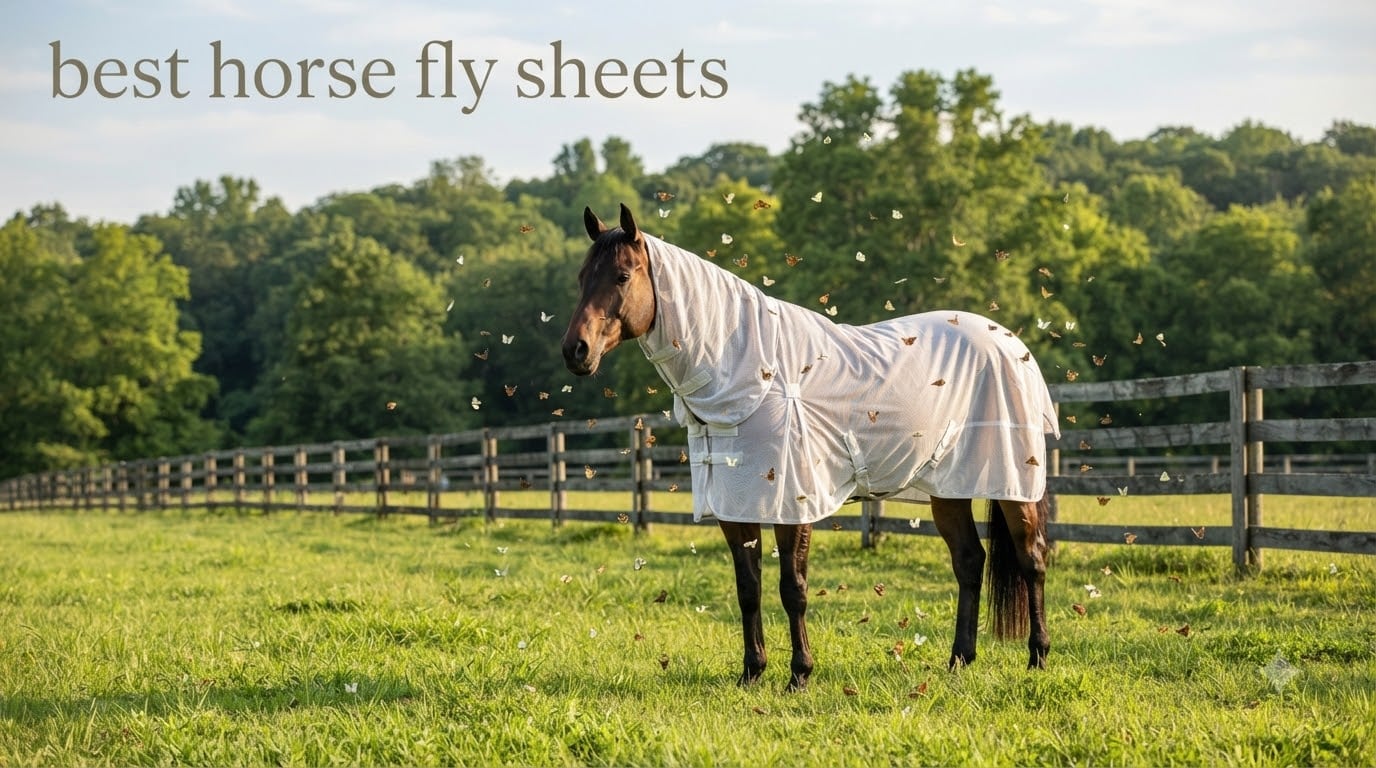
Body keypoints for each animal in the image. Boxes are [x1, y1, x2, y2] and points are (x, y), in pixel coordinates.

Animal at [562, 203, 1060, 691]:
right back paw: (959, 661)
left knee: (1031, 559)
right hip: (948, 488)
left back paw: (1037, 657)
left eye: (622, 276)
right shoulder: (736, 507)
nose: (575, 351)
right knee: (970, 562)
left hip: (1014, 483)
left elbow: (792, 588)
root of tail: (1010, 342)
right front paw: (751, 672)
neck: (751, 372)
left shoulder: (792, 503)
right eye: (582, 276)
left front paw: (799, 673)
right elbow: (748, 588)